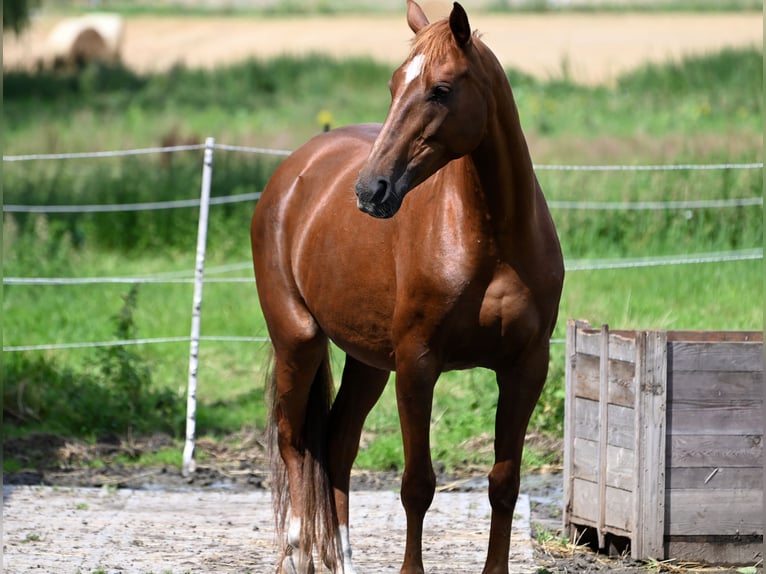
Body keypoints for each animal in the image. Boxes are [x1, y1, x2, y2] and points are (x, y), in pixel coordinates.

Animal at [252, 2, 564, 572]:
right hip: (297, 342)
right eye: (395, 84)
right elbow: (417, 484)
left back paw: (343, 559)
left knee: (336, 444)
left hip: (369, 362)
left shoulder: (526, 367)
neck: (491, 237)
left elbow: (504, 483)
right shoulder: (418, 366)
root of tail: (295, 170)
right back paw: (299, 551)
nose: (370, 190)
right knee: (294, 443)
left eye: (440, 89)